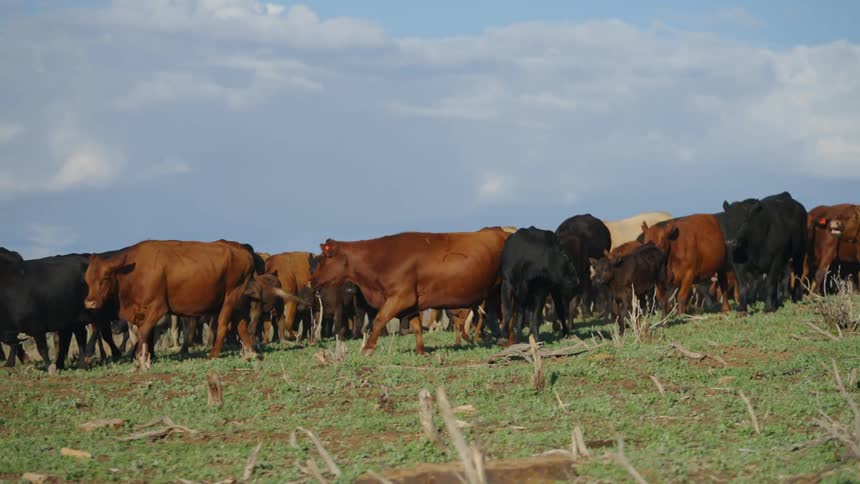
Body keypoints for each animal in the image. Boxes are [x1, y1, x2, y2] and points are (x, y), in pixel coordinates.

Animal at [83, 240, 283, 362]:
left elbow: (144, 332)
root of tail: (240, 249)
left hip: (230, 299)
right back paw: (252, 352)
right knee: (242, 325)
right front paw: (142, 356)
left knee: (224, 326)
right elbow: (142, 334)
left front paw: (140, 359)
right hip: (237, 303)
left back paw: (212, 354)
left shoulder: (157, 307)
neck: (136, 270)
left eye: (106, 277)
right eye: (87, 278)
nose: (89, 303)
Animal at [310, 227, 514, 356]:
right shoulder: (412, 304)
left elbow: (379, 320)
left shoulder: (401, 297)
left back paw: (510, 343)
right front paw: (421, 351)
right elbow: (416, 327)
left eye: (322, 260)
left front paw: (368, 348)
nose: (311, 281)